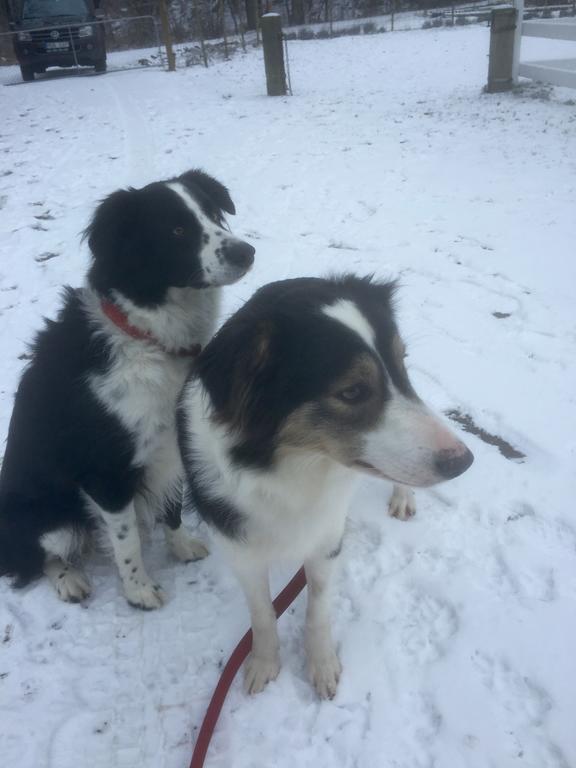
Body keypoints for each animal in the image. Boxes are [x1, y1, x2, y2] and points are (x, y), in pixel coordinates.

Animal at [0, 170, 254, 612]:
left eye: (212, 213)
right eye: (176, 230)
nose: (247, 252)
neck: (147, 336)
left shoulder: (169, 442)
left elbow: (172, 505)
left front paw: (181, 546)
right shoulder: (105, 470)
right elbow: (126, 539)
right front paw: (139, 589)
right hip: (53, 518)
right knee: (36, 557)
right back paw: (69, 578)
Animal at [179, 274, 472, 696]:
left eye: (402, 363)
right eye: (351, 391)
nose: (463, 461)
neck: (286, 471)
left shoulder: (326, 537)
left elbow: (317, 607)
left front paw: (321, 664)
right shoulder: (239, 548)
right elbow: (262, 613)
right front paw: (264, 662)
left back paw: (403, 497)